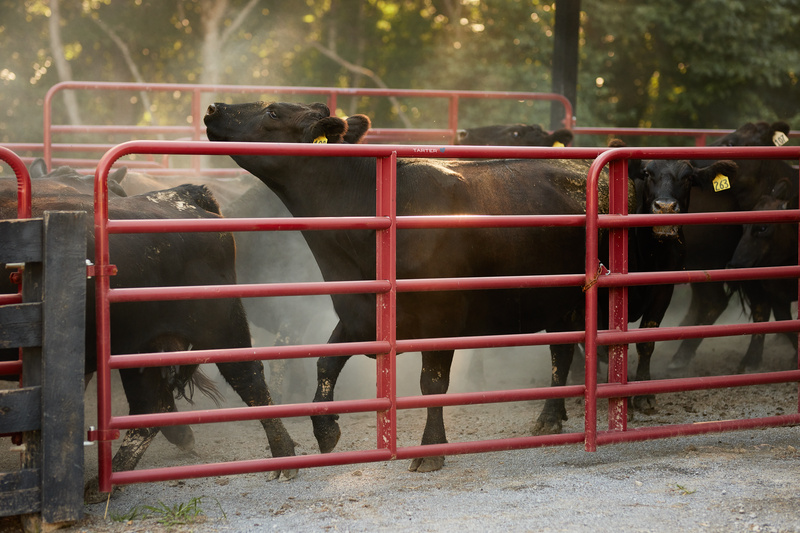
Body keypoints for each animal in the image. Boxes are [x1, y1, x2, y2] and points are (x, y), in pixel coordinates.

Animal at [0, 166, 298, 502]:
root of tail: (180, 197)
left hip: (219, 327)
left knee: (250, 379)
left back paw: (284, 457)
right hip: (137, 347)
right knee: (152, 406)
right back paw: (107, 482)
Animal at [204, 100, 732, 470]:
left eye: (272, 111)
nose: (214, 109)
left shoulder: (439, 318)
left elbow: (432, 384)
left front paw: (430, 450)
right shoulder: (359, 313)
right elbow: (325, 363)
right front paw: (327, 429)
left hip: (655, 287)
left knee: (641, 341)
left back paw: (635, 398)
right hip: (562, 305)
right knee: (562, 353)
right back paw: (550, 415)